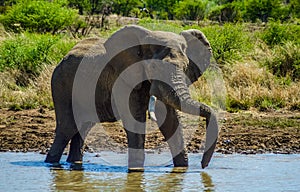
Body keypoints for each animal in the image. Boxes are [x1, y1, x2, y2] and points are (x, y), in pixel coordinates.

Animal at [45, 24, 218, 170]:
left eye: (185, 67)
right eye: (153, 67)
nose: (203, 165)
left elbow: (169, 120)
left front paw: (182, 169)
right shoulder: (123, 78)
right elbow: (135, 120)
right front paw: (136, 171)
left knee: (82, 128)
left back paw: (74, 163)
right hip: (61, 84)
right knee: (67, 127)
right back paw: (51, 163)